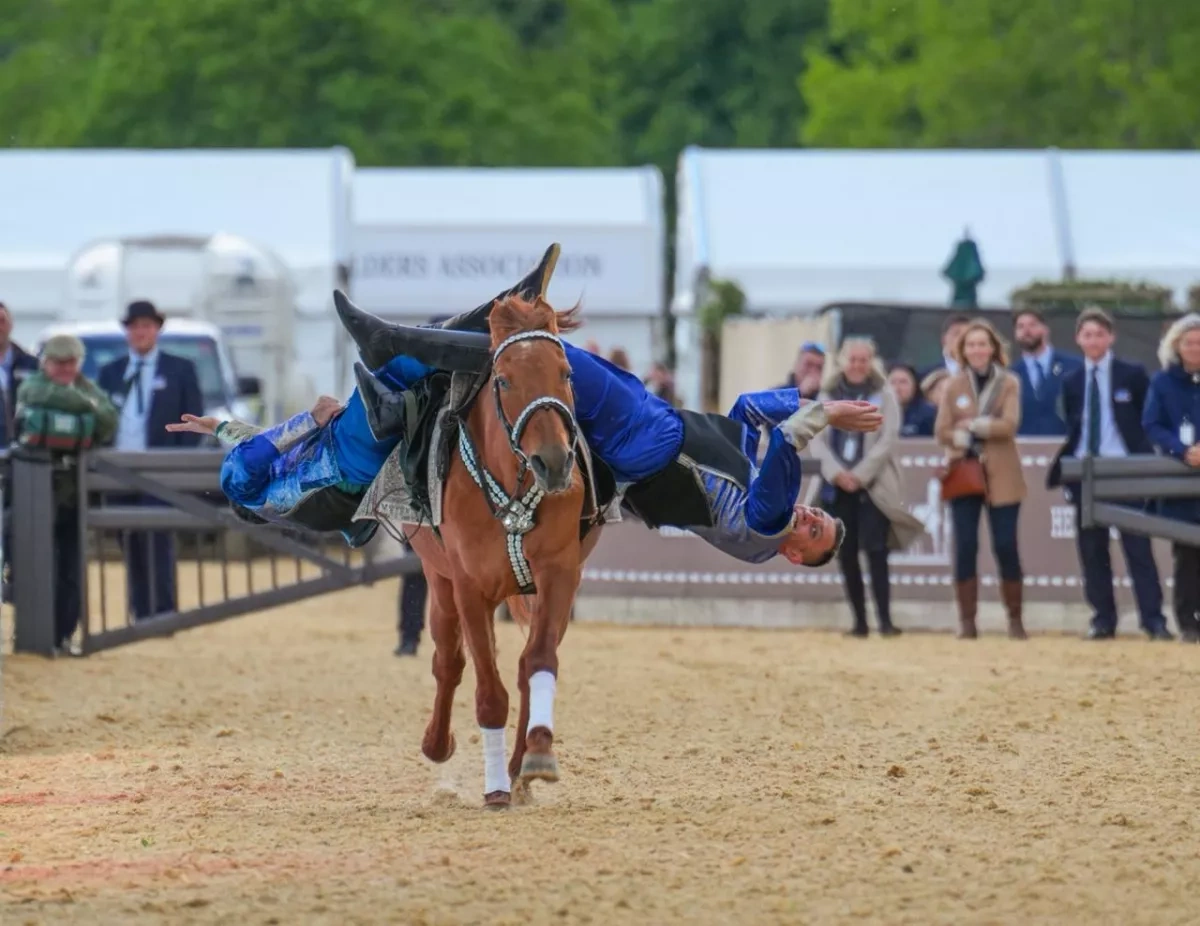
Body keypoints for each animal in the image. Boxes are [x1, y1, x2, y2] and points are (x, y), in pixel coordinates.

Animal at [403, 294, 590, 808]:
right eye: (504, 380)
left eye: (567, 374)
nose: (554, 462)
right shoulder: (470, 586)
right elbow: (488, 691)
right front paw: (494, 790)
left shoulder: (559, 574)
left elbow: (539, 661)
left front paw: (537, 754)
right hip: (439, 577)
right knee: (448, 660)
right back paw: (438, 743)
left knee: (525, 664)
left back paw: (520, 764)